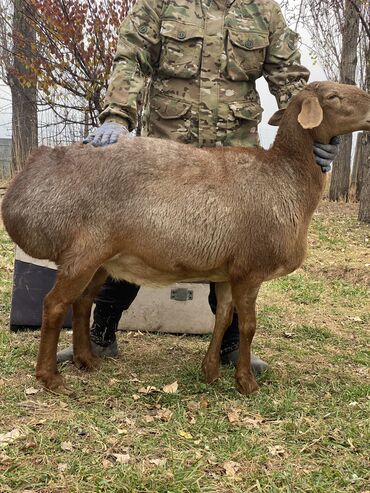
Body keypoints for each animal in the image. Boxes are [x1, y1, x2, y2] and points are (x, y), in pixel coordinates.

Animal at [2, 80, 370, 394]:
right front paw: (246, 383)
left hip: (102, 261)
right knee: (54, 305)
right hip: (84, 253)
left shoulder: (226, 273)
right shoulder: (249, 270)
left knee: (83, 302)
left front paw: (210, 372)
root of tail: (23, 184)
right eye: (333, 96)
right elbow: (248, 325)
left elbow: (223, 318)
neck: (286, 180)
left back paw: (88, 360)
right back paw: (50, 377)